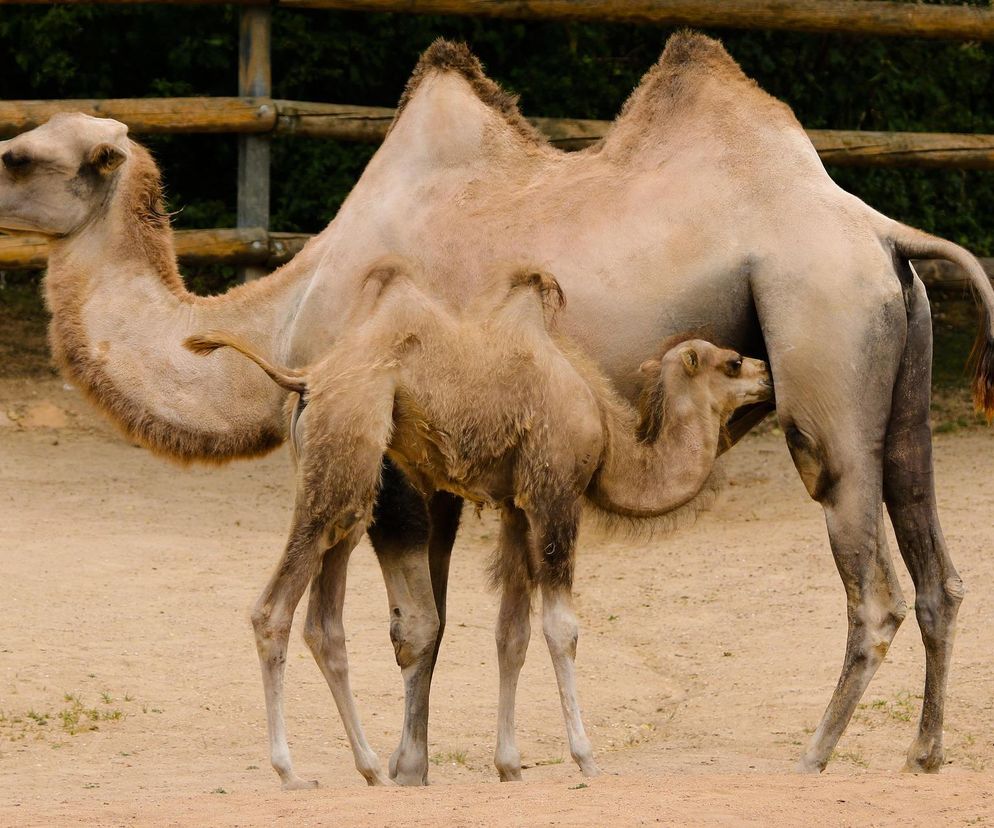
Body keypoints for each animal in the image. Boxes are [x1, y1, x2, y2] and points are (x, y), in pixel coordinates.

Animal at [184, 260, 776, 784]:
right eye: (731, 363)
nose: (769, 372)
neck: (607, 437)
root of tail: (307, 377)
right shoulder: (555, 495)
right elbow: (561, 628)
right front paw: (585, 758)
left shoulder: (516, 506)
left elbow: (510, 632)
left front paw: (509, 765)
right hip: (345, 456)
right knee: (272, 610)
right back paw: (291, 771)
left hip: (348, 484)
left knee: (325, 621)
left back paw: (373, 769)